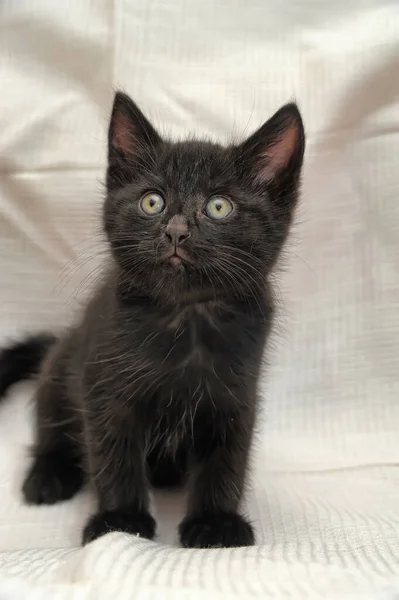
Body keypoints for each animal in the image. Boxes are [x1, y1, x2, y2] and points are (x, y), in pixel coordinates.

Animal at [0, 92, 304, 548]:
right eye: (152, 201)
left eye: (219, 206)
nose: (175, 231)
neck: (188, 316)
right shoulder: (104, 386)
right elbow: (113, 455)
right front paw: (120, 520)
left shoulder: (236, 393)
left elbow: (227, 458)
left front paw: (215, 523)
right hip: (61, 365)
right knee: (51, 424)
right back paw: (49, 475)